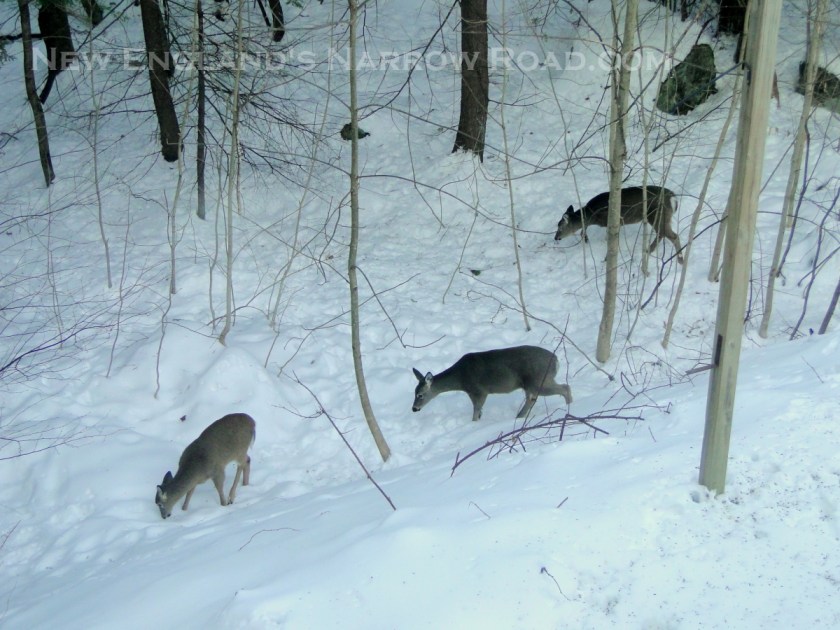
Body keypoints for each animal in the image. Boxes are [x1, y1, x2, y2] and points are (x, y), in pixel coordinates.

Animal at [412, 345, 572, 422]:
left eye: (420, 395)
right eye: (414, 392)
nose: (414, 409)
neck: (461, 378)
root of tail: (556, 360)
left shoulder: (479, 391)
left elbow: (476, 411)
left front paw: (473, 424)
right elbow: (479, 412)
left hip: (539, 380)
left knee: (565, 387)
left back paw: (570, 407)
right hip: (530, 383)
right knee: (531, 399)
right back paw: (519, 416)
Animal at [555, 185, 683, 263]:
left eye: (560, 227)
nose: (556, 237)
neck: (592, 214)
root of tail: (673, 198)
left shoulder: (613, 222)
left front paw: (606, 258)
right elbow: (584, 229)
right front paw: (586, 239)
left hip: (657, 214)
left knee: (673, 235)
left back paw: (680, 260)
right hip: (661, 217)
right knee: (662, 234)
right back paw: (649, 250)